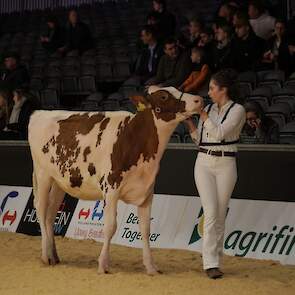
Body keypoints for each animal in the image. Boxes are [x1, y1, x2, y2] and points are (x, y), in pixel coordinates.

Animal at [28, 86, 204, 276]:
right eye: (164, 96)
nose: (199, 100)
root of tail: (39, 113)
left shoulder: (147, 192)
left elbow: (145, 229)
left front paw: (151, 267)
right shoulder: (110, 188)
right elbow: (110, 226)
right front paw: (103, 264)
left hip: (60, 181)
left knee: (50, 214)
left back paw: (54, 255)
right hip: (43, 174)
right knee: (41, 208)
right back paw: (45, 256)